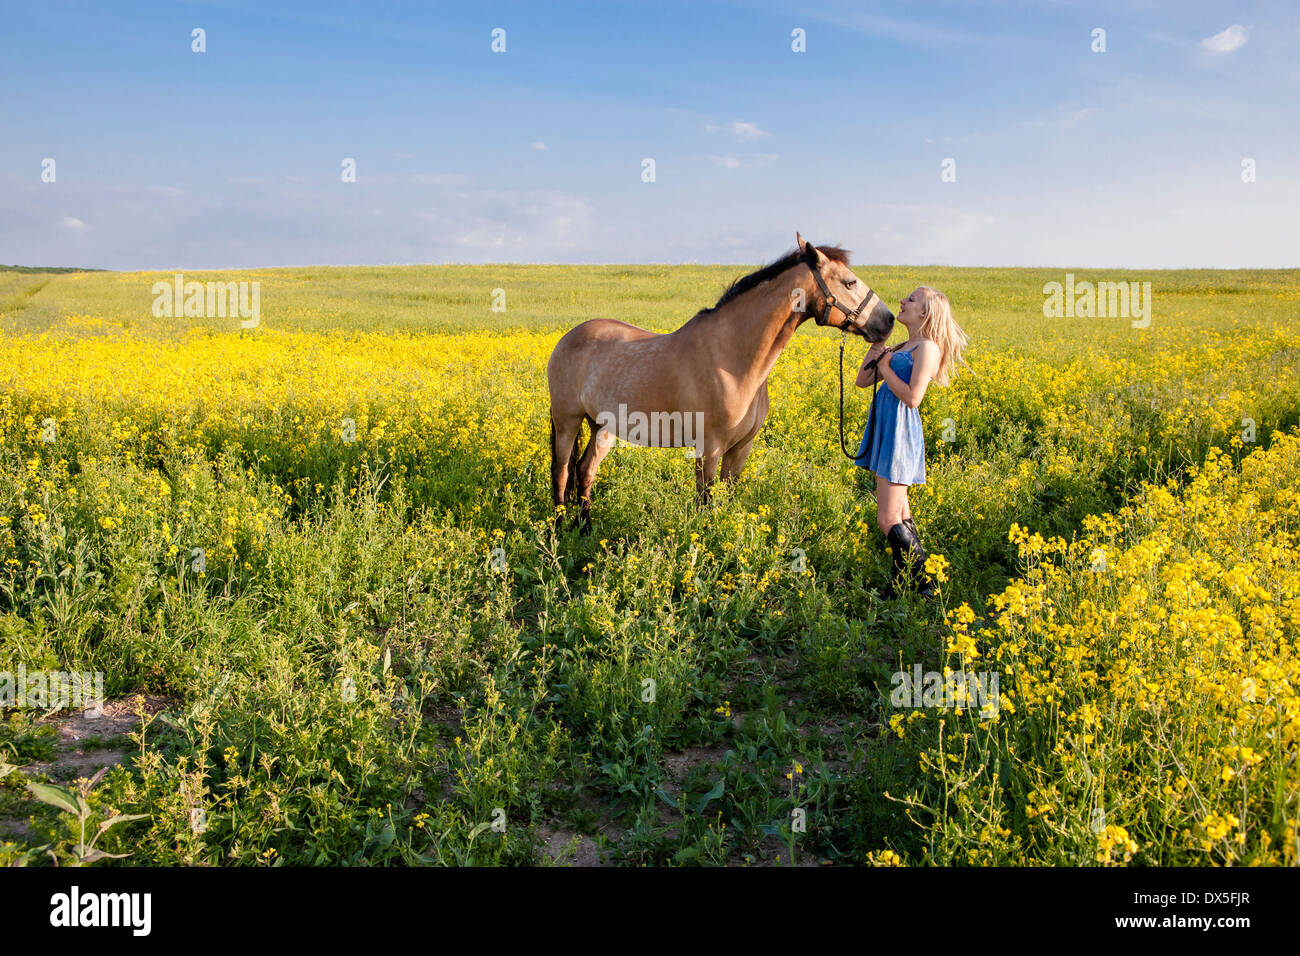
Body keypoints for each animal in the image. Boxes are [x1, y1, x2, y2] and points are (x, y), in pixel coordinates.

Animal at [546, 232, 894, 530]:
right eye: (850, 281)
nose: (888, 321)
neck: (733, 360)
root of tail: (567, 338)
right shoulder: (709, 449)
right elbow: (706, 501)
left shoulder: (740, 449)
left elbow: (726, 497)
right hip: (568, 421)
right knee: (561, 471)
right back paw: (560, 529)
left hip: (602, 427)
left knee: (585, 471)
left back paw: (586, 528)